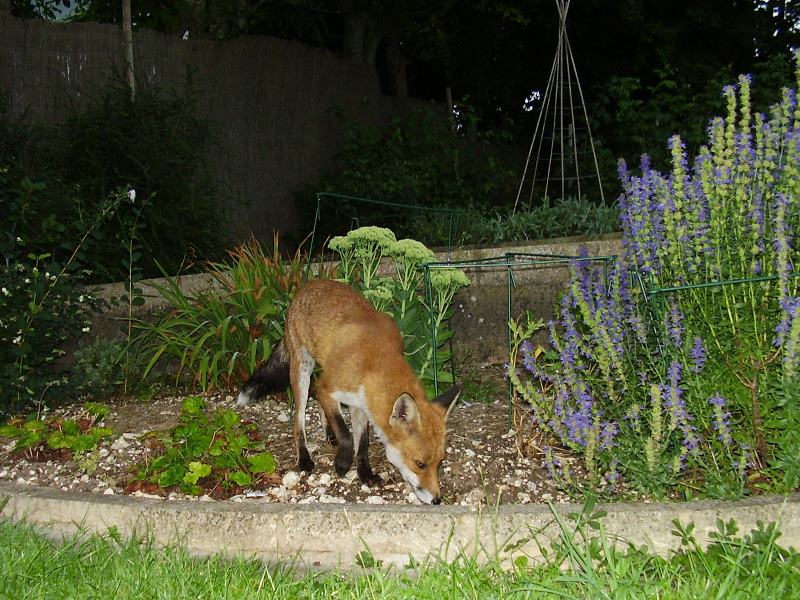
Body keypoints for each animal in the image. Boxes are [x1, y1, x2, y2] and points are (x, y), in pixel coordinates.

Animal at [238, 278, 460, 504]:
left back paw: (329, 434)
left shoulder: (359, 402)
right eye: (420, 463)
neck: (374, 362)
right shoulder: (328, 388)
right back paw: (305, 457)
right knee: (298, 421)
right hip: (303, 370)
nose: (437, 500)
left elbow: (362, 441)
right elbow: (345, 433)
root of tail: (308, 285)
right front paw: (343, 463)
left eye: (440, 463)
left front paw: (365, 474)